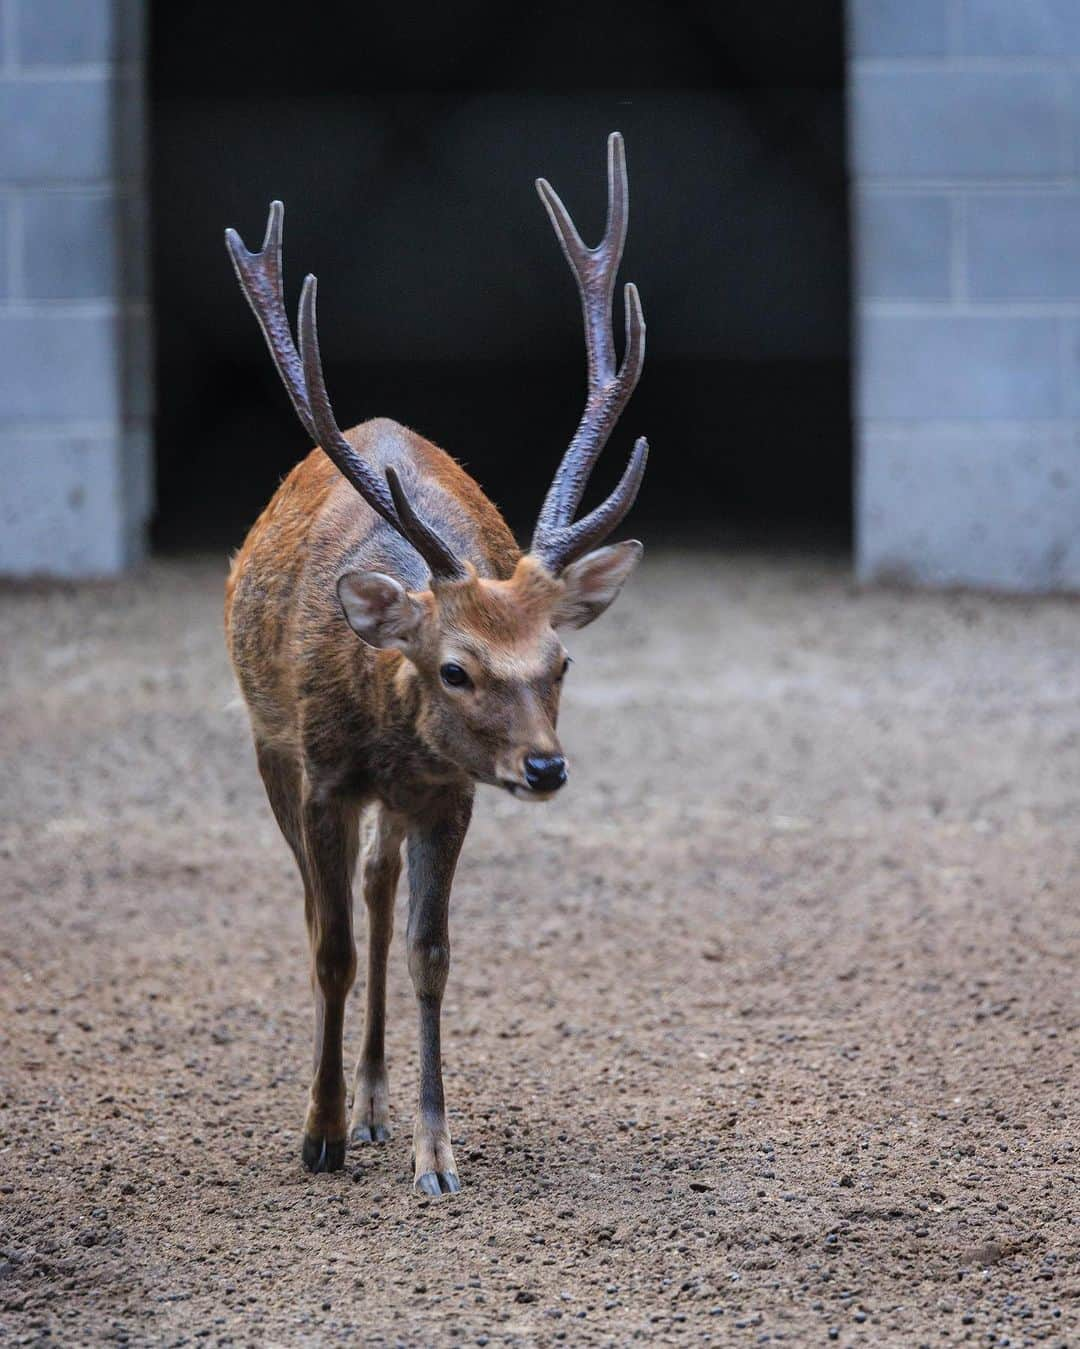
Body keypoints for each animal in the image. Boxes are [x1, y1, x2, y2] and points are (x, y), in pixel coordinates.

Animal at [218, 131, 641, 1197]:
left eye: (561, 659)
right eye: (456, 667)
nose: (546, 766)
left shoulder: (449, 794)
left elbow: (430, 952)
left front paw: (433, 1151)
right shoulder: (323, 776)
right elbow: (328, 946)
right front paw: (319, 1133)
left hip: (401, 805)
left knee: (375, 887)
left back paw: (374, 1102)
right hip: (268, 749)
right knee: (322, 909)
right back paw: (343, 1108)